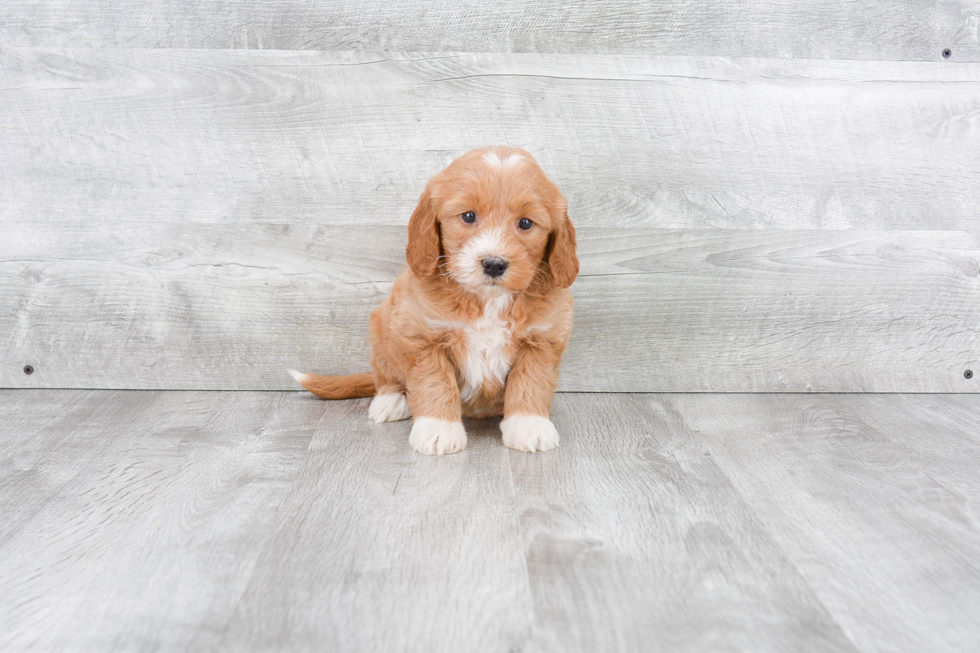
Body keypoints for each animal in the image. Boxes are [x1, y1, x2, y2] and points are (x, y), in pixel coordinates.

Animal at [288, 146, 580, 454]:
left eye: (525, 223)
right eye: (468, 216)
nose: (494, 264)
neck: (487, 300)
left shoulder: (542, 340)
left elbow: (530, 382)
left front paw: (529, 425)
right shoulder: (422, 338)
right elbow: (435, 383)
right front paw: (438, 429)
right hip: (382, 328)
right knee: (385, 376)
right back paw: (390, 400)